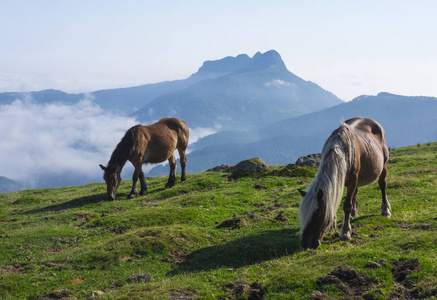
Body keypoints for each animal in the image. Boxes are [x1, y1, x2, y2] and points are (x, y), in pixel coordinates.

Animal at [298, 117, 390, 248]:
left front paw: (345, 232)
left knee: (382, 185)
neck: (341, 151)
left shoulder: (352, 180)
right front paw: (333, 225)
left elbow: (347, 205)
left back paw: (385, 210)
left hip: (383, 166)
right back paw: (353, 213)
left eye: (317, 215)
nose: (306, 244)